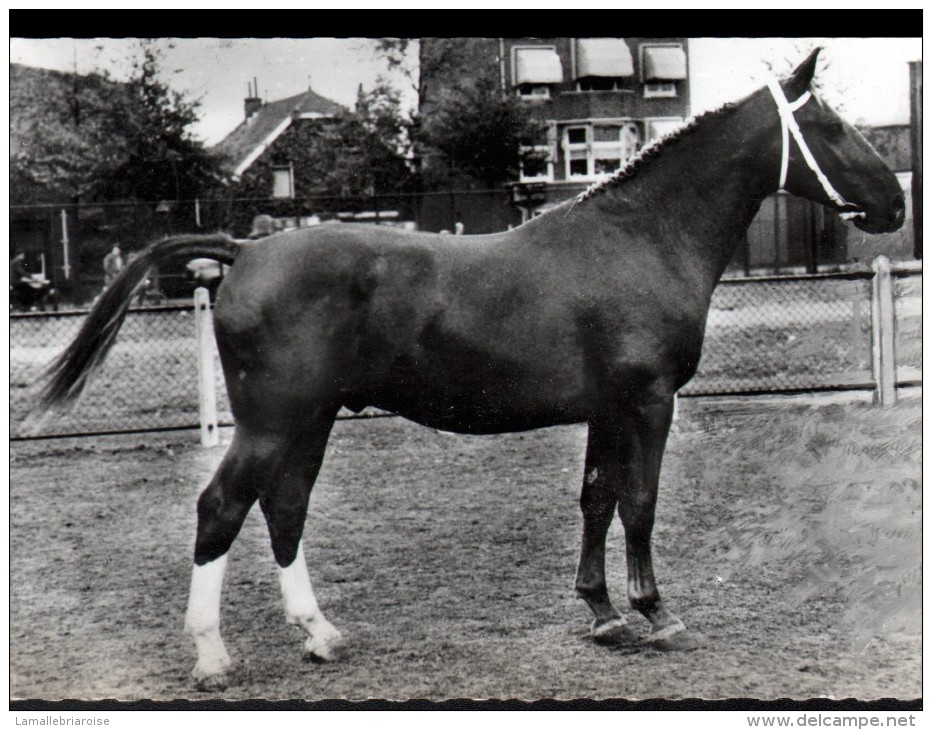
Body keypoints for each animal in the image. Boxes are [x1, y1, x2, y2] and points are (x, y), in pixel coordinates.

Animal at [38, 51, 904, 688]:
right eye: (828, 125)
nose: (895, 203)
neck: (640, 238)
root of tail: (242, 250)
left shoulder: (607, 409)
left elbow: (596, 500)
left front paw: (603, 614)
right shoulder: (648, 404)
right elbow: (639, 504)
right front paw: (658, 614)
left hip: (309, 421)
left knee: (284, 510)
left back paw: (320, 635)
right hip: (272, 423)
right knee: (221, 508)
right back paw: (214, 657)